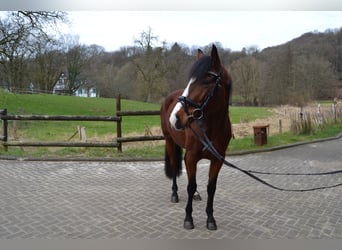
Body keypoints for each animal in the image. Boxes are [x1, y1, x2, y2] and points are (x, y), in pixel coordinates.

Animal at [160, 44, 232, 229]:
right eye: (190, 81)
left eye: (206, 81)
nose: (176, 118)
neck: (210, 128)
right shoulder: (192, 157)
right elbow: (190, 185)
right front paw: (188, 218)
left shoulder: (218, 160)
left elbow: (211, 187)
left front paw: (210, 218)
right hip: (170, 141)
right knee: (174, 166)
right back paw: (174, 194)